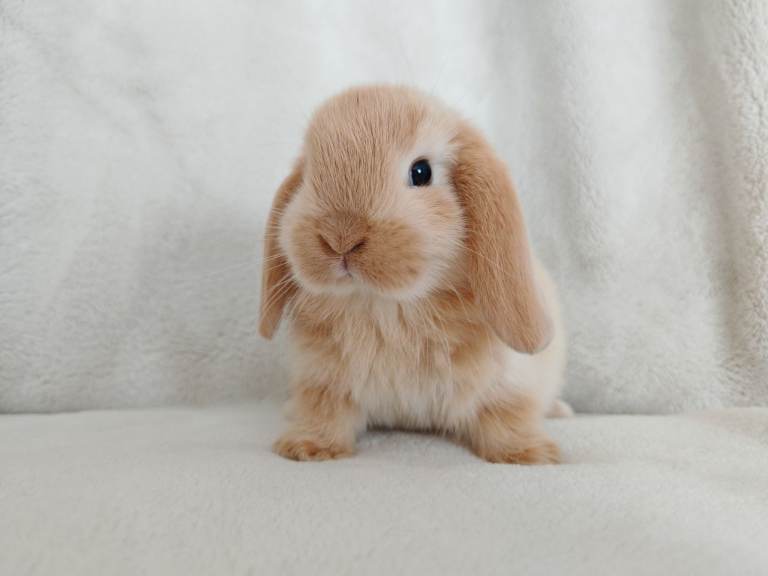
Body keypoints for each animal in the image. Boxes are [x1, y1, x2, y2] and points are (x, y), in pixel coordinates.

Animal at [260, 85, 570, 464]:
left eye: (421, 172)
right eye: (307, 177)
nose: (340, 236)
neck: (389, 307)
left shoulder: (509, 383)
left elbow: (507, 414)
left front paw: (529, 454)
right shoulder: (321, 379)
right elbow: (323, 411)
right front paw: (307, 448)